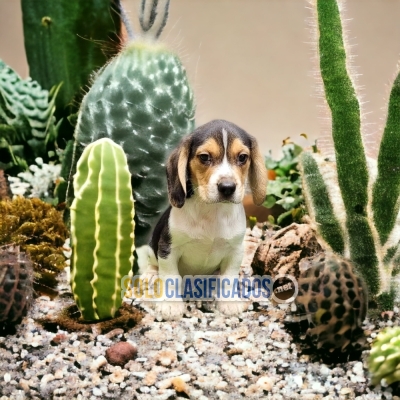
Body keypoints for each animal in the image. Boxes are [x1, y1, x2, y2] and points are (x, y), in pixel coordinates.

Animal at [142, 118, 268, 318]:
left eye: (242, 157)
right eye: (204, 157)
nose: (227, 187)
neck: (212, 211)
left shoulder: (235, 251)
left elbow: (228, 279)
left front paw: (229, 302)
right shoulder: (168, 249)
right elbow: (171, 277)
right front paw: (171, 304)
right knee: (153, 264)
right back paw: (151, 274)